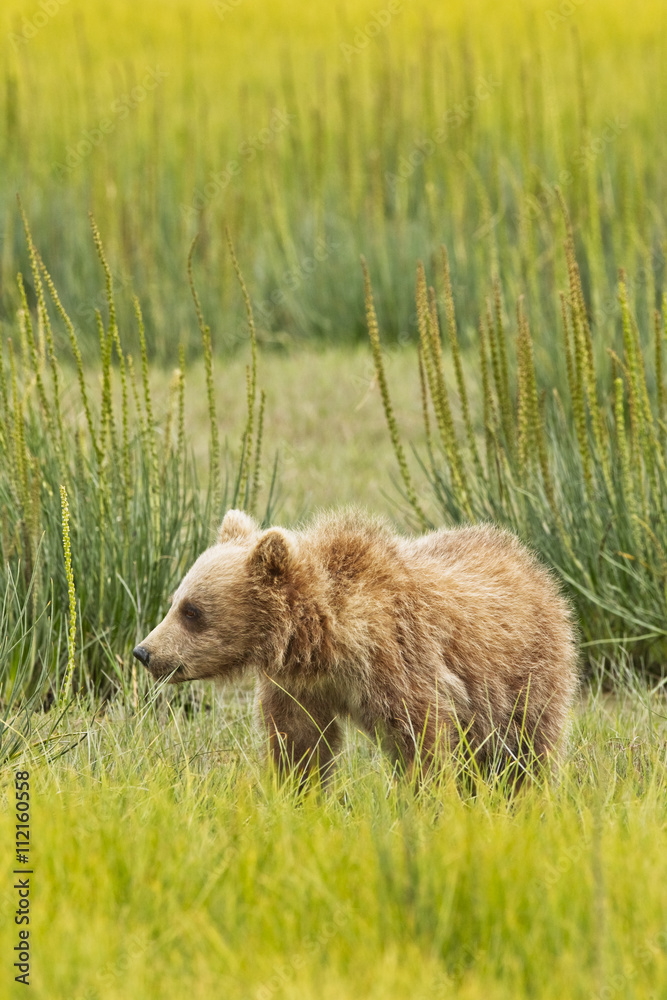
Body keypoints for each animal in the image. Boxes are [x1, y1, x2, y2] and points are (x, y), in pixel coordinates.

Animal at [133, 508, 578, 782]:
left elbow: (423, 741)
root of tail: (532, 563)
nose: (144, 652)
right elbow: (299, 742)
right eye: (174, 601)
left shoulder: (400, 662)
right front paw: (298, 793)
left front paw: (428, 799)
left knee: (525, 749)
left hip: (522, 673)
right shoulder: (300, 687)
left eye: (192, 611)